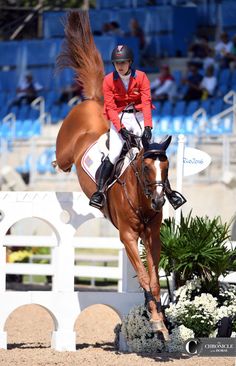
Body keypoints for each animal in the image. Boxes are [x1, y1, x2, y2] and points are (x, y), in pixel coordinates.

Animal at [54, 10, 171, 338]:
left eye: (166, 166)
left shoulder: (152, 234)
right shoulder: (128, 236)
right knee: (61, 158)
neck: (141, 197)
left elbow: (153, 279)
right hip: (66, 148)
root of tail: (95, 102)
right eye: (145, 167)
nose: (159, 201)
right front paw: (156, 321)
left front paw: (160, 322)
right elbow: (143, 277)